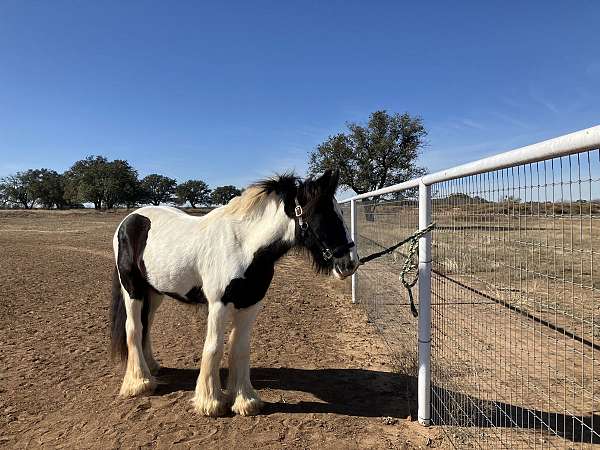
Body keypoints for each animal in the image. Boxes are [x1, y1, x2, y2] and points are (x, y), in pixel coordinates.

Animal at [109, 171, 356, 416]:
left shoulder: (251, 303)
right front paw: (210, 402)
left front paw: (244, 400)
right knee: (133, 328)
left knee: (146, 326)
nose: (350, 264)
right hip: (133, 289)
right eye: (325, 215)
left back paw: (151, 367)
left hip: (154, 293)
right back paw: (140, 383)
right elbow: (214, 347)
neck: (243, 245)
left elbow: (240, 349)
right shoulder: (219, 303)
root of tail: (129, 220)